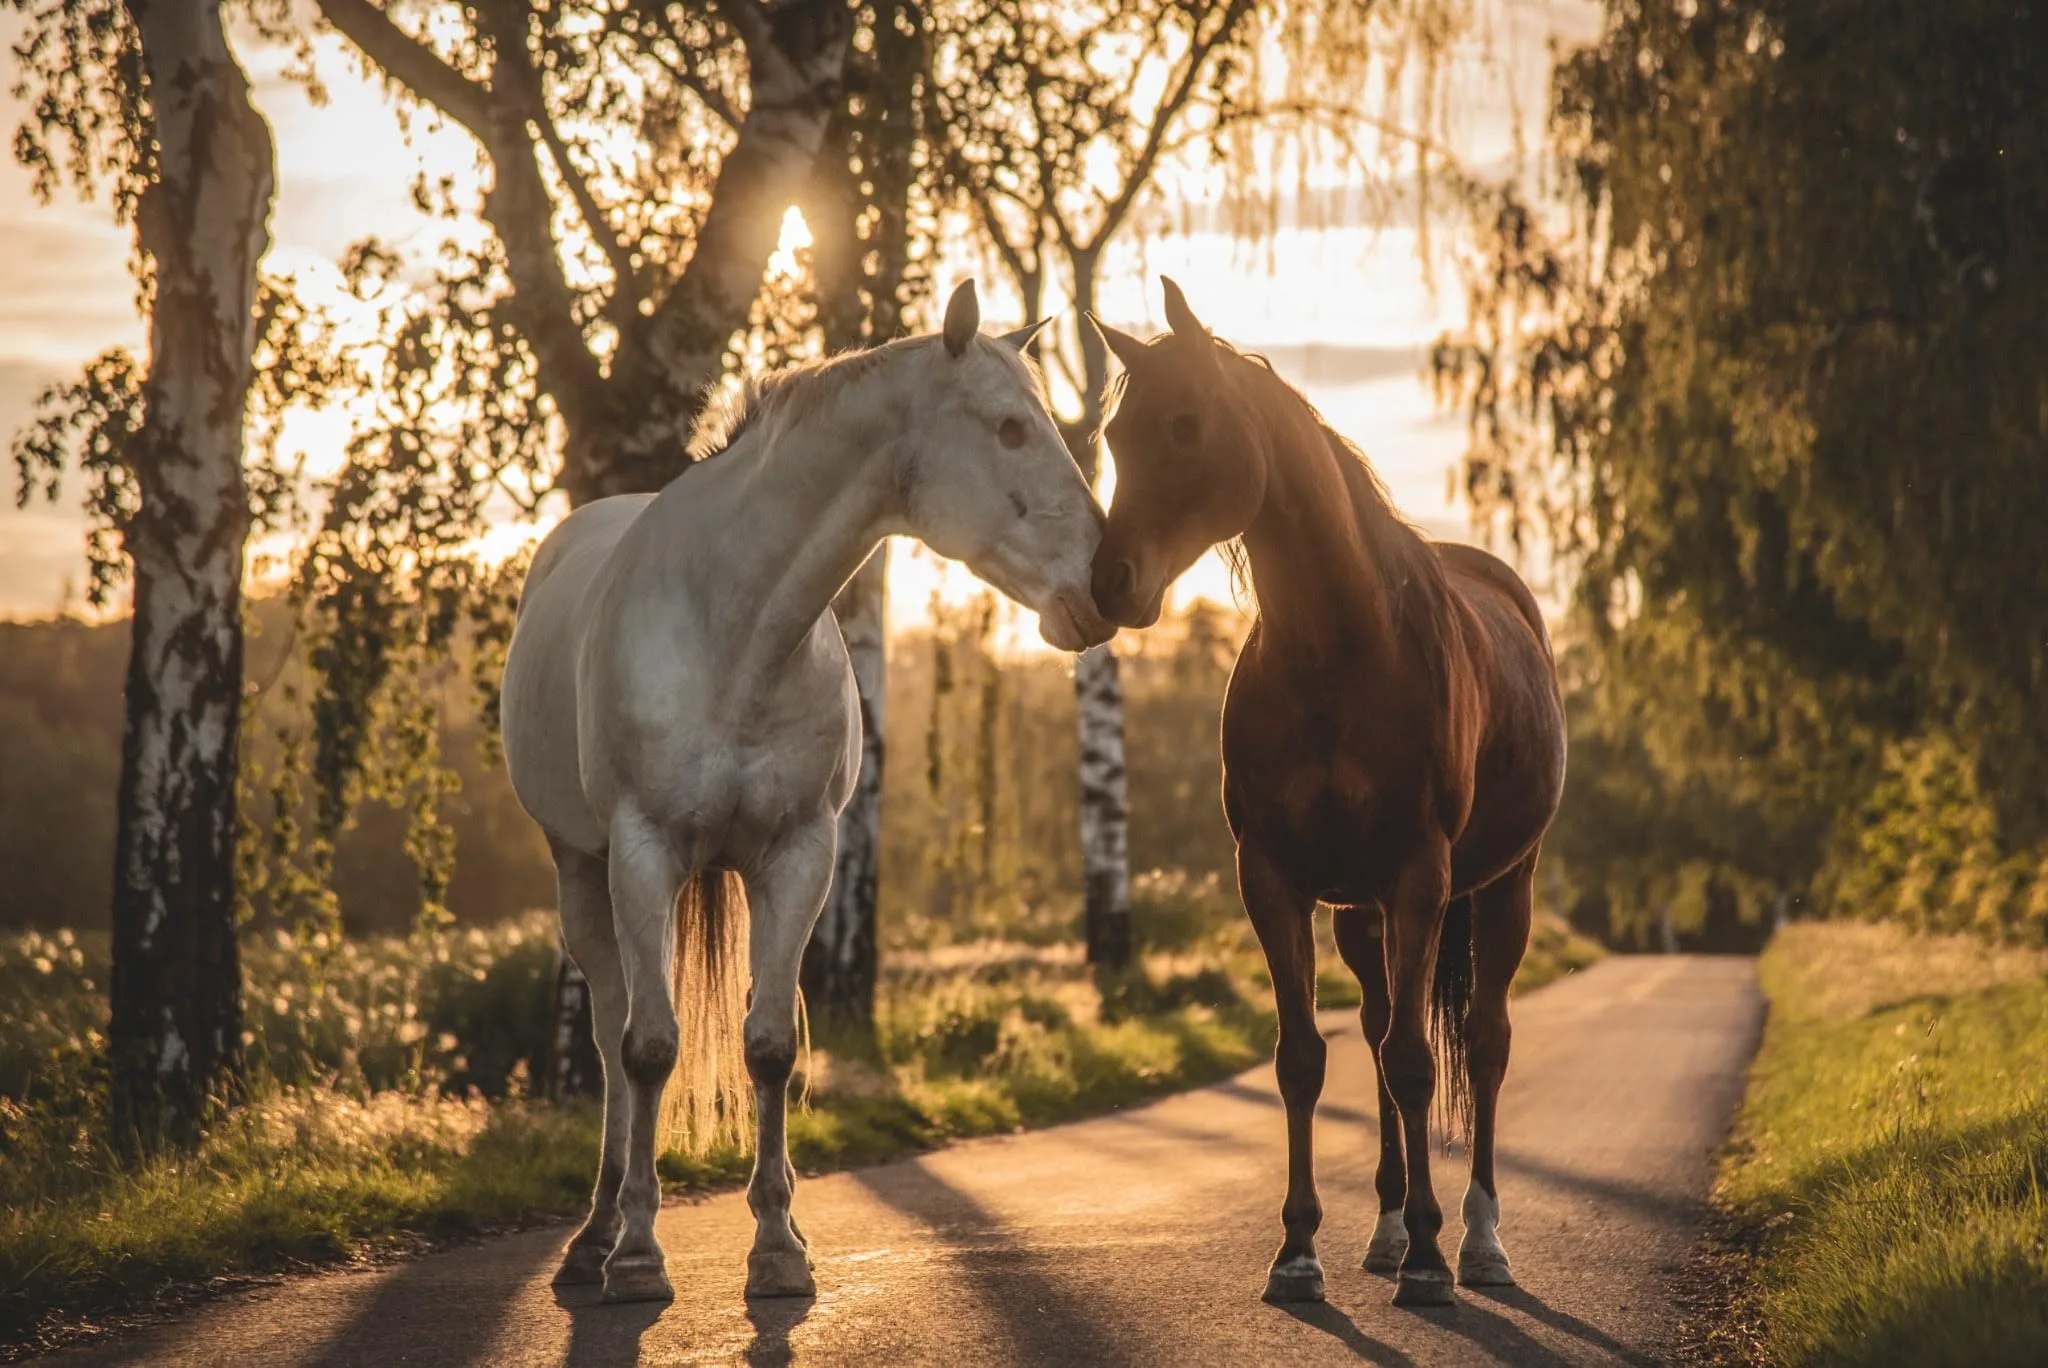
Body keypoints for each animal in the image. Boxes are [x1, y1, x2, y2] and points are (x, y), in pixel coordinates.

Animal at [499, 280, 1113, 1305]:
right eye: (1010, 427)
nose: (1112, 585)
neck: (734, 626)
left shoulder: (799, 855)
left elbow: (770, 1046)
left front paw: (780, 1250)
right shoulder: (642, 852)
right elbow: (648, 1048)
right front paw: (639, 1256)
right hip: (580, 868)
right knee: (612, 1034)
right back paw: (594, 1239)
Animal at [1085, 280, 1566, 1308]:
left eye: (1185, 424)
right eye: (1115, 435)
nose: (1110, 584)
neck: (1340, 650)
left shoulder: (1420, 878)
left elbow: (1419, 1064)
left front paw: (1429, 1263)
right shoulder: (1275, 880)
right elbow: (1306, 1058)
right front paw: (1299, 1252)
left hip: (1502, 887)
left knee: (1483, 1041)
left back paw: (1477, 1239)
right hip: (1361, 917)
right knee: (1381, 1031)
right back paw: (1386, 1230)